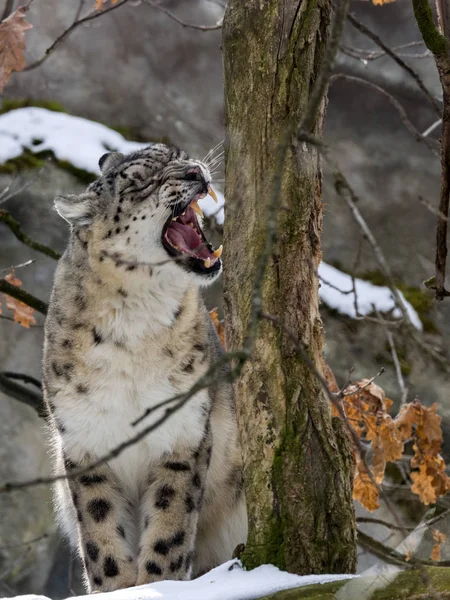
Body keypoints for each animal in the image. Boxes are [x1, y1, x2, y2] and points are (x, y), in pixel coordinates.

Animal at [43, 144, 246, 592]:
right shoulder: (86, 439)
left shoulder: (182, 433)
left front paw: (159, 584)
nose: (195, 170)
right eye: (140, 183)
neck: (135, 323)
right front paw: (115, 590)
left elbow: (169, 527)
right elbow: (101, 533)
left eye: (177, 154)